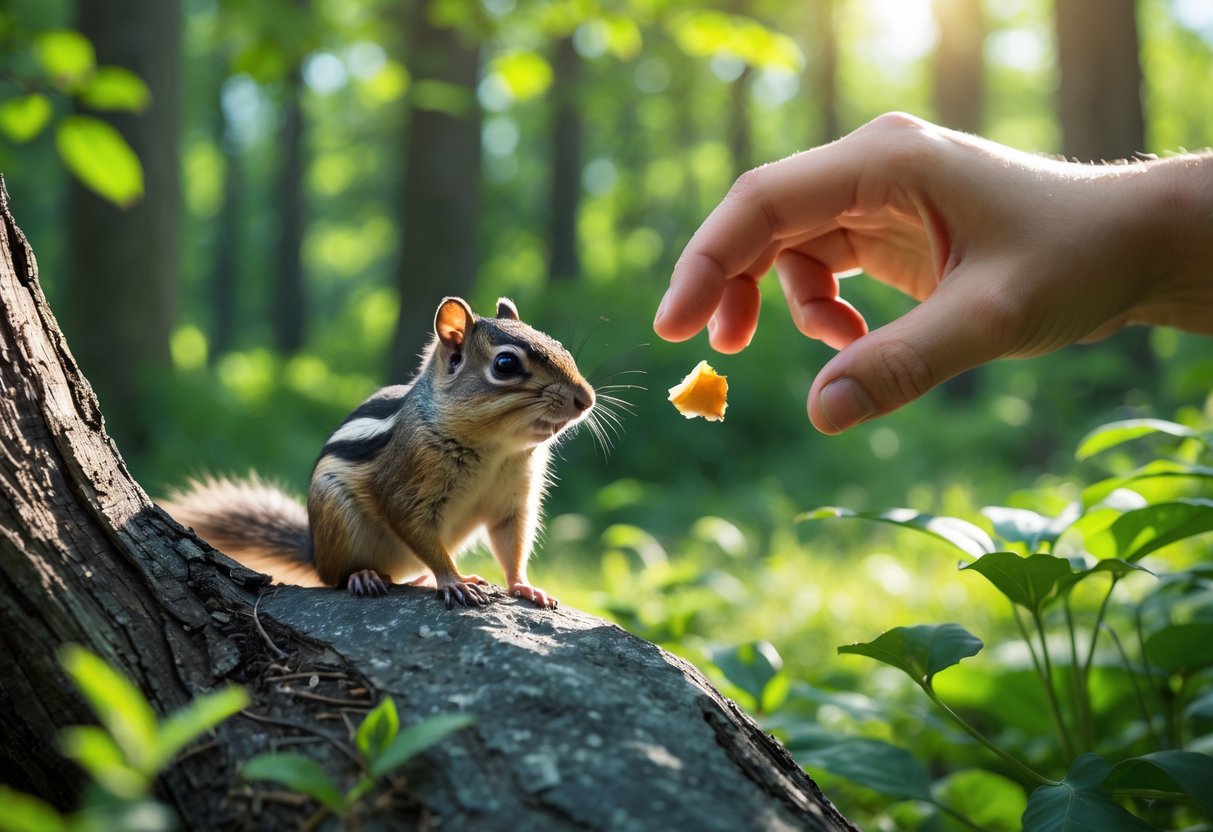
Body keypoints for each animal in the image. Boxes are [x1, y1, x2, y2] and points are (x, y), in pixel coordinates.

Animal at [162, 296, 595, 609]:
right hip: (336, 521)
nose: (586, 399)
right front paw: (453, 581)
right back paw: (364, 577)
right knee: (335, 579)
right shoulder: (408, 486)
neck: (497, 449)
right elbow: (413, 525)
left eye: (556, 343)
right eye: (505, 363)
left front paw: (524, 586)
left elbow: (512, 544)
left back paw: (419, 578)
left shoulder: (512, 501)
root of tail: (316, 552)